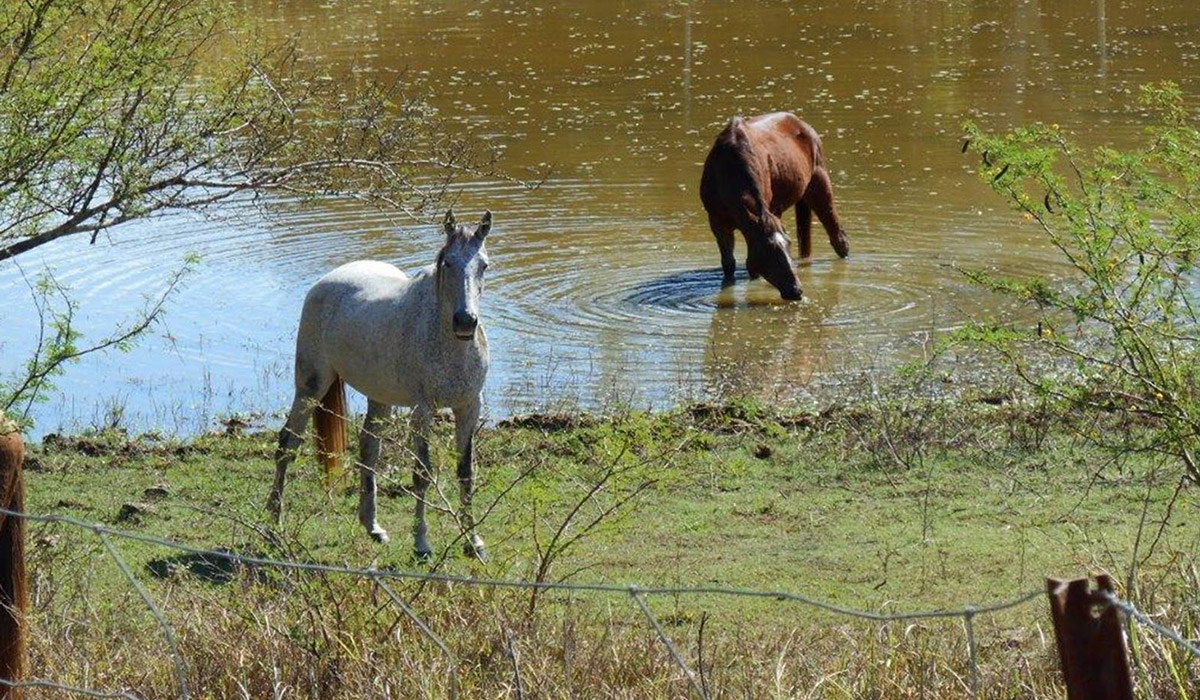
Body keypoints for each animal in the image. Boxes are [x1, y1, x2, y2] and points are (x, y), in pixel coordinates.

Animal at [270, 207, 494, 559]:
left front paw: (474, 543)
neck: (447, 342)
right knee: (287, 444)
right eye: (448, 263)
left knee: (368, 448)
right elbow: (422, 473)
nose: (465, 321)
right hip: (310, 387)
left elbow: (466, 473)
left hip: (379, 398)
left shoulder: (469, 407)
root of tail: (325, 282)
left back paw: (372, 526)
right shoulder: (422, 411)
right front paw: (422, 543)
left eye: (483, 264)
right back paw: (274, 524)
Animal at [700, 112, 849, 301]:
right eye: (767, 249)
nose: (796, 291)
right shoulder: (717, 222)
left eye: (788, 244)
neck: (726, 172)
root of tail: (804, 125)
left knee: (838, 237)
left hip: (819, 184)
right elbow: (729, 264)